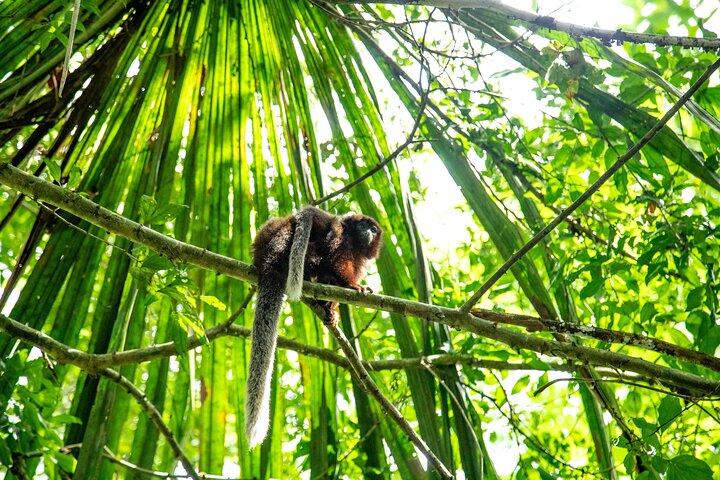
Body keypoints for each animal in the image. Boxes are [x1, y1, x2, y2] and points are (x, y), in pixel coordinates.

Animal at [245, 206, 382, 448]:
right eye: (364, 225)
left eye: (373, 229)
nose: (368, 231)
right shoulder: (341, 235)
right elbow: (336, 260)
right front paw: (352, 285)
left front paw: (331, 311)